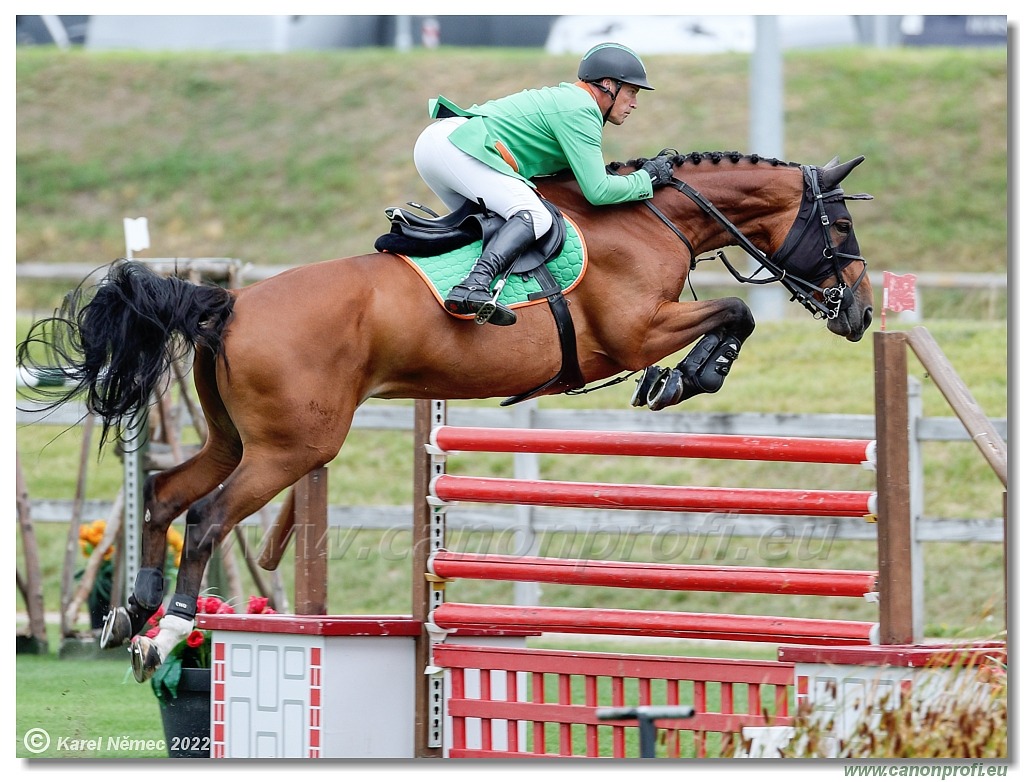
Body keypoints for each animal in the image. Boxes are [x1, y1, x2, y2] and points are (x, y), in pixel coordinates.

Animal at [16, 149, 872, 679]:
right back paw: (166, 633)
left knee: (164, 495)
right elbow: (735, 311)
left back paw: (130, 614)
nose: (861, 312)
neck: (649, 220)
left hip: (237, 440)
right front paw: (691, 377)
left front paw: (687, 376)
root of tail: (230, 303)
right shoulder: (633, 332)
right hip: (292, 450)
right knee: (207, 517)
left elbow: (732, 311)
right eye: (839, 227)